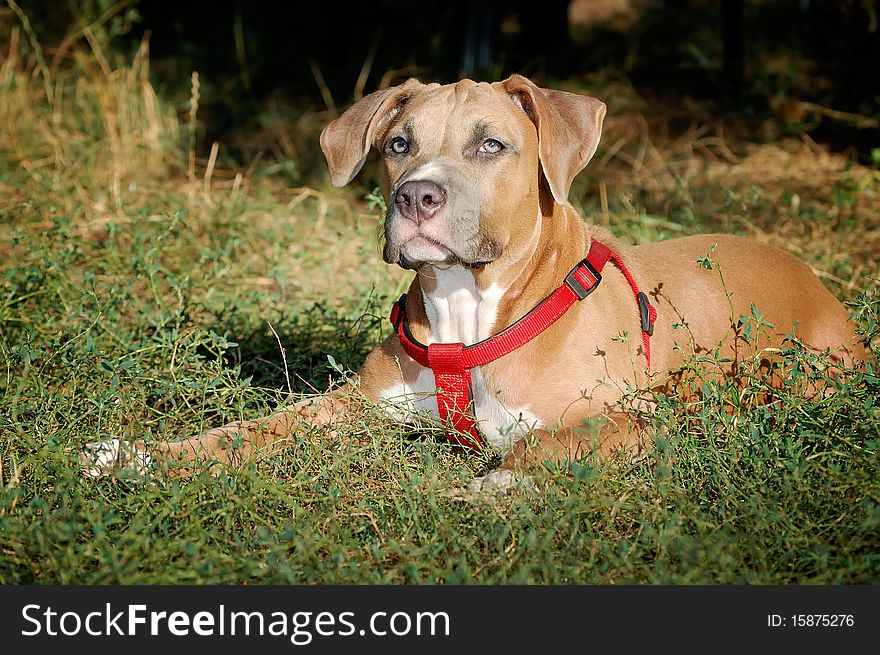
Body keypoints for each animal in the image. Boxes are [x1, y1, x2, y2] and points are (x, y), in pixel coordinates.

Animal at [82, 74, 868, 490]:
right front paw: (137, 455)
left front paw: (499, 482)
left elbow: (546, 444)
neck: (467, 307)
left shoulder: (629, 416)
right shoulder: (351, 405)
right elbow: (246, 430)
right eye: (398, 145)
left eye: (491, 144)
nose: (416, 197)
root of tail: (811, 274)